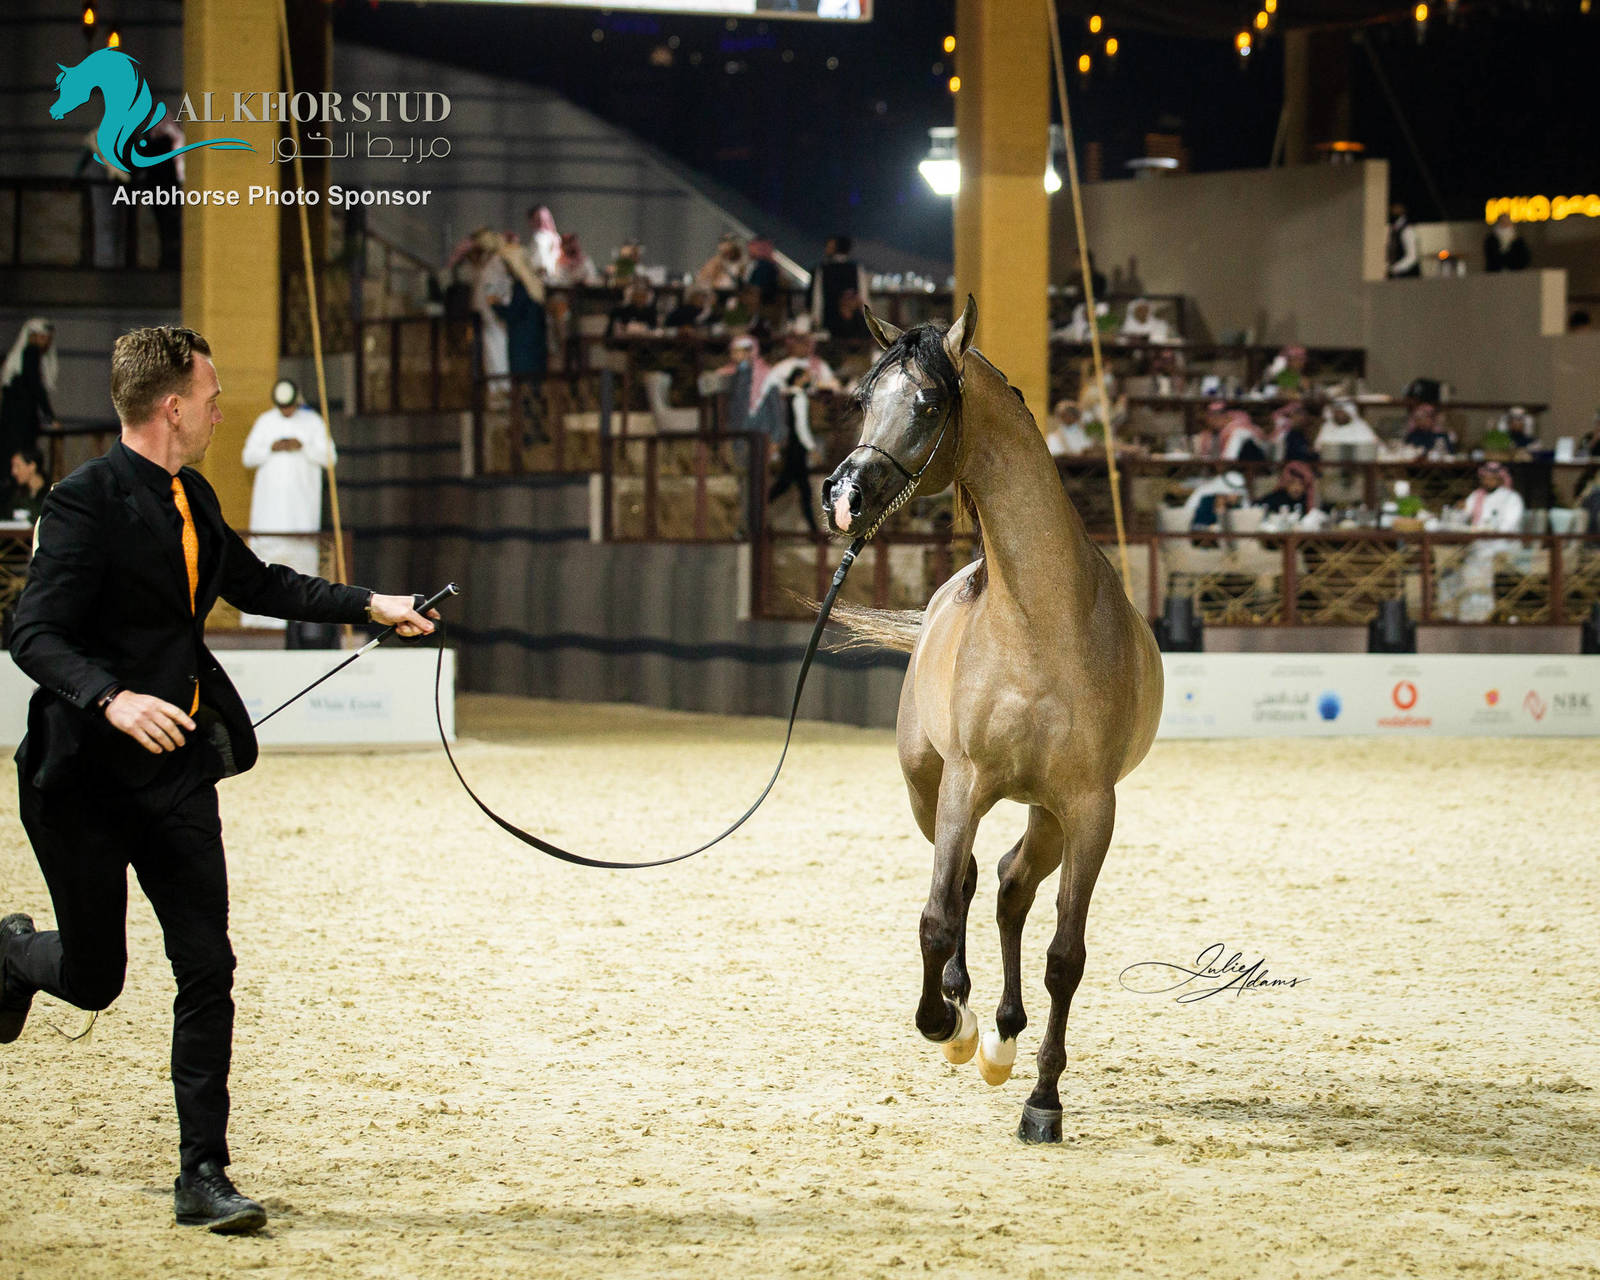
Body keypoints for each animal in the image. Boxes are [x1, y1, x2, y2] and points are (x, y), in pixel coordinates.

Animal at [820, 296, 1163, 1144]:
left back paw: (1006, 1037)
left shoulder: (1090, 806)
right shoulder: (965, 784)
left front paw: (1043, 1099)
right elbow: (937, 915)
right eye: (861, 399)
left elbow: (1065, 955)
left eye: (925, 403)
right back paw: (969, 1013)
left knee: (1011, 885)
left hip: (1046, 813)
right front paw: (946, 1026)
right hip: (930, 791)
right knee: (977, 879)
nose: (842, 498)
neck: (1038, 620)